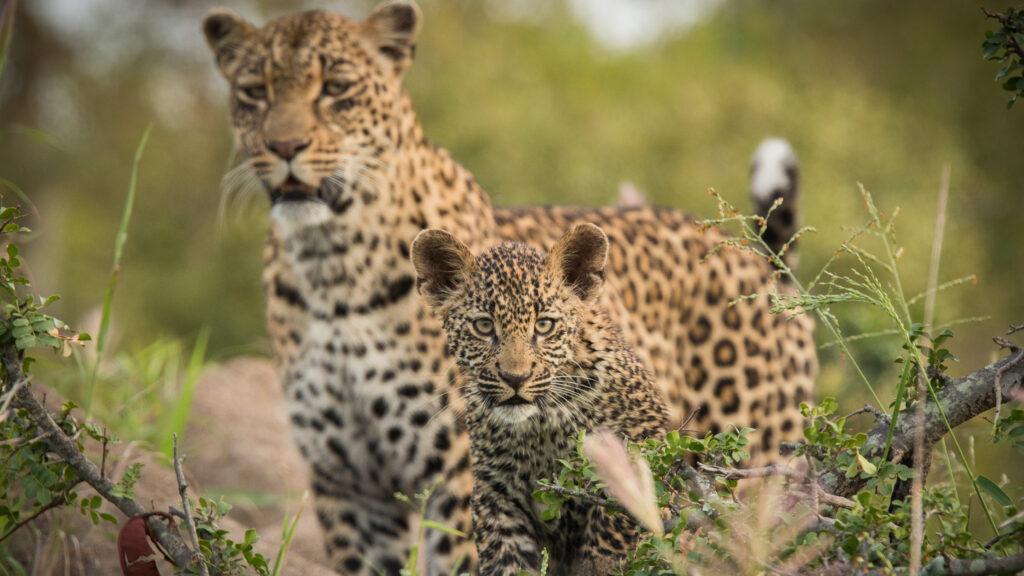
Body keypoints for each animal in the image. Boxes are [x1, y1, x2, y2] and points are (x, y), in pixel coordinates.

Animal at [410, 224, 668, 576]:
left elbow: (614, 528)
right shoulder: (496, 491)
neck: (542, 425)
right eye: (484, 326)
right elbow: (507, 561)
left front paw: (598, 564)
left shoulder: (641, 439)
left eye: (544, 325)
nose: (515, 378)